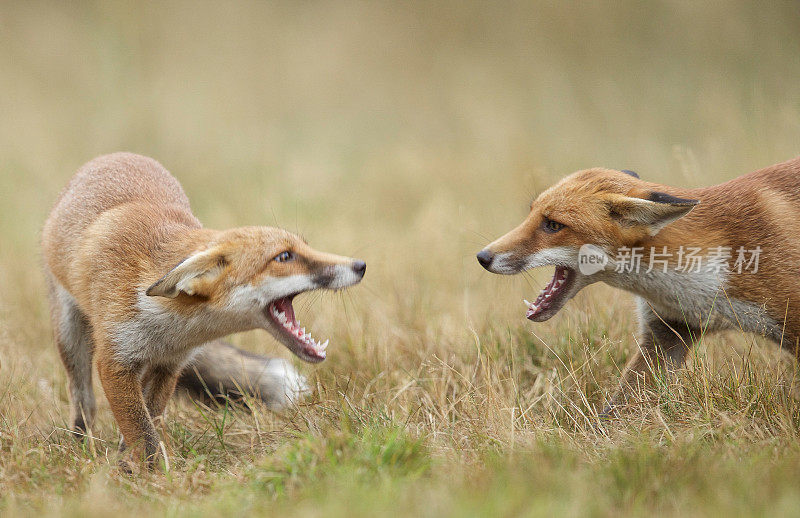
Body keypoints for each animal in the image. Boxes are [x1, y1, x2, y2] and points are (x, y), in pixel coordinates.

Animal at [42, 152, 368, 466]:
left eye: (305, 247)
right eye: (284, 257)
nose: (360, 265)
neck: (171, 328)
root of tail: (110, 156)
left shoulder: (169, 365)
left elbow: (149, 420)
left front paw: (132, 464)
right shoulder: (115, 361)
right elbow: (142, 433)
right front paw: (151, 474)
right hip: (70, 339)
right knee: (83, 399)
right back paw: (81, 446)